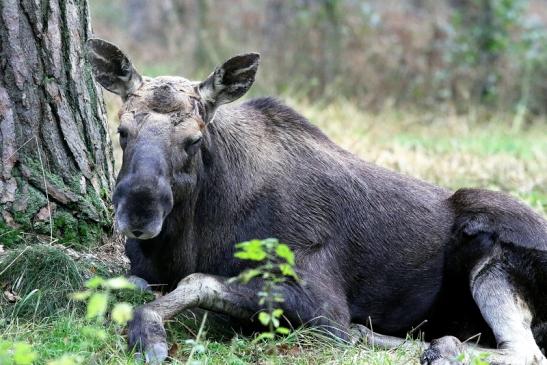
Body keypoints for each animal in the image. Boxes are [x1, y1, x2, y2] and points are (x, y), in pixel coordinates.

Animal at [88, 38, 547, 362]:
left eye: (194, 139)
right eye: (122, 131)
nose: (138, 213)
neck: (190, 234)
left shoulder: (320, 298)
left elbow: (195, 281)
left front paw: (148, 332)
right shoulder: (146, 269)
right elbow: (128, 284)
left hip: (492, 247)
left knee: (526, 352)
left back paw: (439, 349)